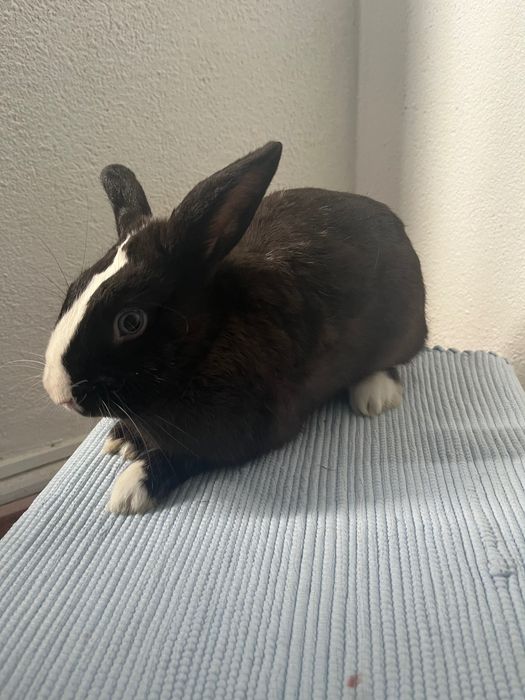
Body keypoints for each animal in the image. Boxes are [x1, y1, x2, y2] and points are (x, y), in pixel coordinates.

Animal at [43, 142, 427, 514]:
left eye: (131, 321)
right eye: (74, 288)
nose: (57, 391)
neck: (208, 343)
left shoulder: (248, 433)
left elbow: (188, 455)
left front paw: (133, 486)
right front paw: (122, 437)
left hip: (401, 331)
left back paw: (375, 396)